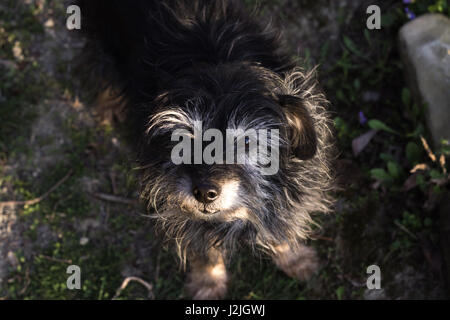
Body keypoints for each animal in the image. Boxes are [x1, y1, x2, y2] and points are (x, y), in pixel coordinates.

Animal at [75, 0, 334, 300]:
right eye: (185, 139)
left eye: (246, 142)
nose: (205, 192)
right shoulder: (178, 210)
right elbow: (204, 249)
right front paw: (208, 284)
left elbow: (281, 225)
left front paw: (295, 259)